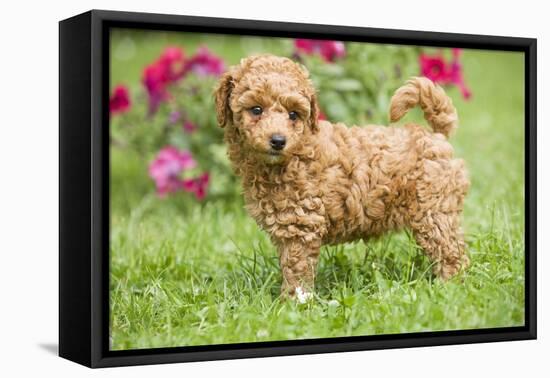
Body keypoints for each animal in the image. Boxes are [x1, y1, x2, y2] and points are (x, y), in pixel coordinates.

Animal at [215, 54, 470, 302]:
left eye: (293, 114)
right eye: (256, 110)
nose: (278, 140)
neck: (295, 153)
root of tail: (436, 135)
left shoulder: (301, 225)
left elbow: (296, 269)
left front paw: (293, 303)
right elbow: (289, 264)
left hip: (434, 211)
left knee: (452, 253)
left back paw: (448, 288)